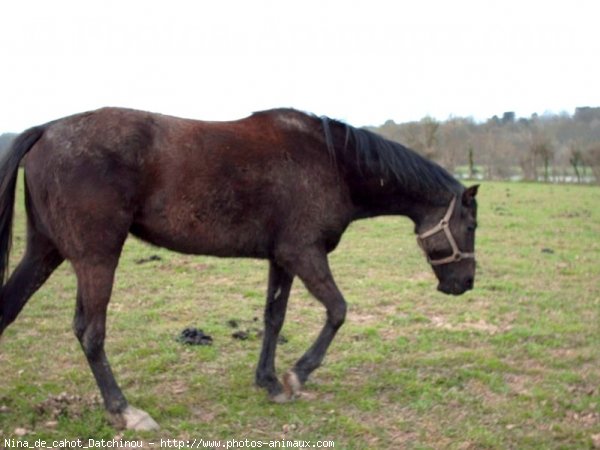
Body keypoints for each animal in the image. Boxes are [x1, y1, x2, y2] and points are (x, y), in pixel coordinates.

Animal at [0, 107, 478, 430]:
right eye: (471, 225)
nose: (465, 282)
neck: (332, 162)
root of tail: (46, 129)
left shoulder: (282, 258)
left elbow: (273, 317)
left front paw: (269, 381)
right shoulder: (305, 254)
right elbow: (338, 311)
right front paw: (297, 374)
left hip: (44, 251)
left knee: (9, 310)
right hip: (97, 259)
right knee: (91, 332)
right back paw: (123, 410)